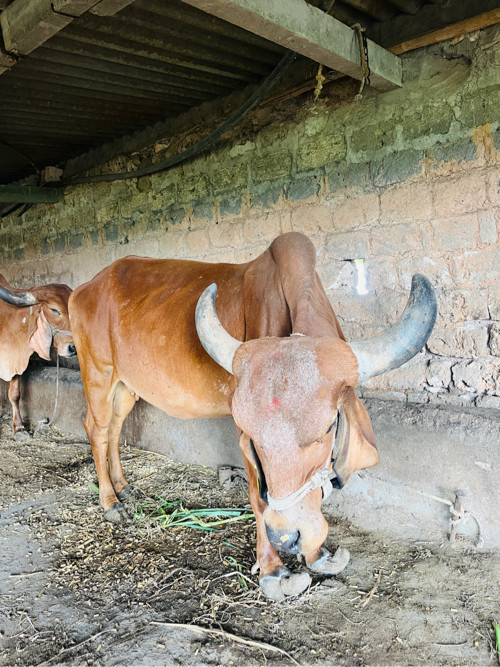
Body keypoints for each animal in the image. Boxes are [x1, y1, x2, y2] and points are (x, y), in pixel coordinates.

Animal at [68, 232, 436, 604]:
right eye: (255, 437)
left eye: (328, 428)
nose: (287, 538)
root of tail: (85, 287)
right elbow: (258, 497)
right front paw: (273, 570)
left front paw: (317, 554)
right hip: (98, 373)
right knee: (97, 430)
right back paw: (110, 502)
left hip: (126, 387)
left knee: (115, 429)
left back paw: (123, 487)